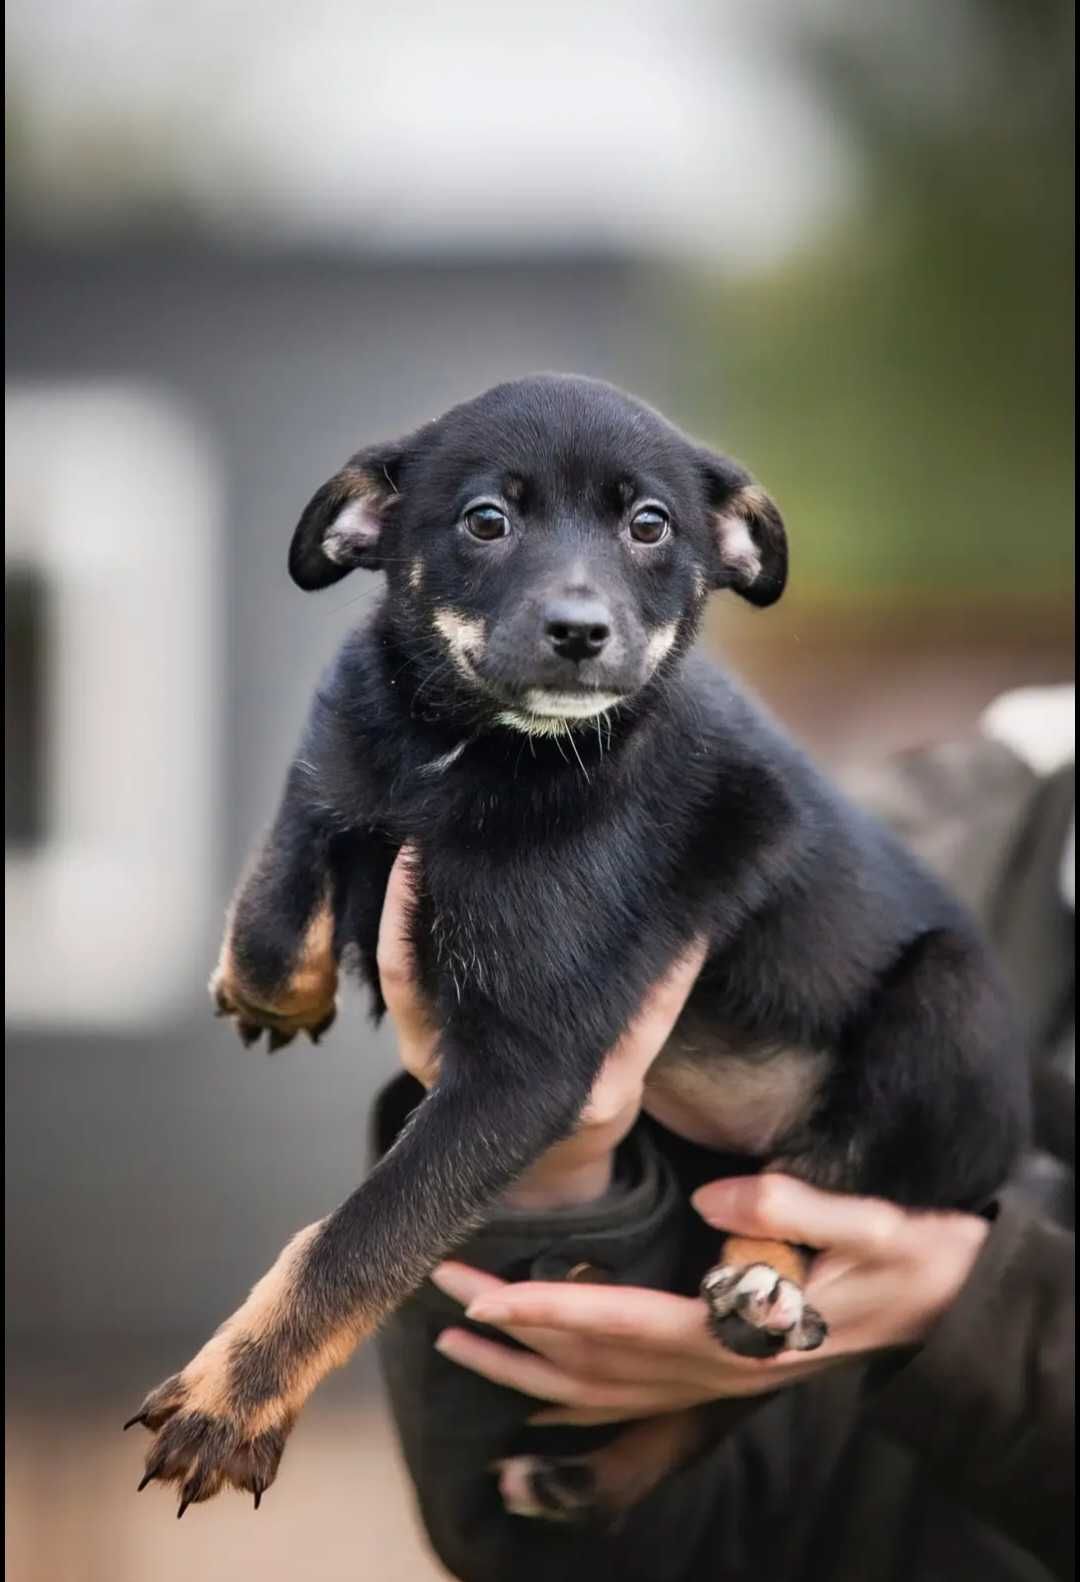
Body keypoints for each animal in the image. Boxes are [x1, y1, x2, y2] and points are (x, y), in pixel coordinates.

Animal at [128, 373, 1030, 1518]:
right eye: (486, 520)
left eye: (649, 526)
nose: (579, 630)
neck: (466, 749)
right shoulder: (349, 747)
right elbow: (293, 849)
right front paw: (271, 992)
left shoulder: (526, 1068)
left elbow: (359, 1239)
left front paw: (230, 1403)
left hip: (949, 1006)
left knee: (818, 1186)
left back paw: (764, 1283)